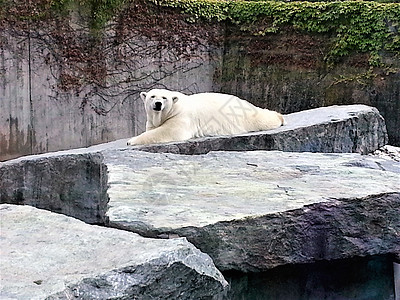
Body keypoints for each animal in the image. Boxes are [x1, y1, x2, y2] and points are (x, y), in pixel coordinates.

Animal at [126, 88, 286, 146]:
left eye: (164, 97)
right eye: (152, 96)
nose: (158, 104)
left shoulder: (181, 117)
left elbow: (167, 132)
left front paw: (131, 141)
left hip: (243, 115)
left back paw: (279, 117)